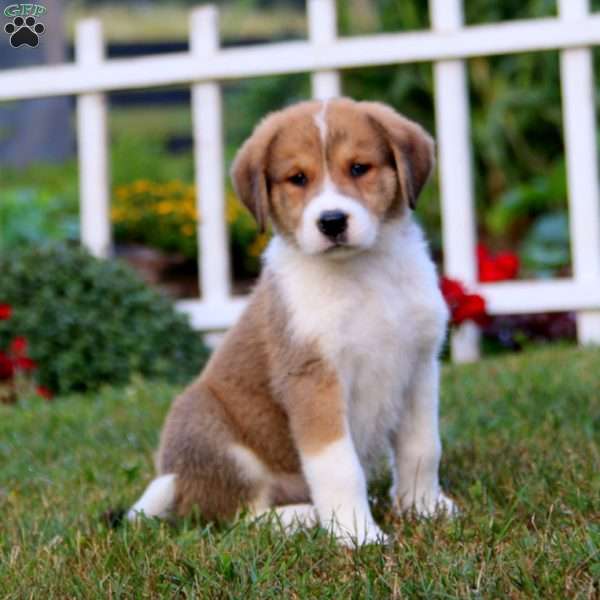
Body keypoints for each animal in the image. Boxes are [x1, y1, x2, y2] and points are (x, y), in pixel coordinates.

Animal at [126, 97, 454, 544]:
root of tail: (175, 481)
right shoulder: (312, 379)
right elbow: (339, 467)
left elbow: (422, 448)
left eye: (358, 168)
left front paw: (421, 508)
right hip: (211, 427)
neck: (363, 275)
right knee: (232, 517)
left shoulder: (419, 366)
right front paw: (357, 535)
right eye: (297, 178)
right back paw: (304, 517)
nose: (331, 221)